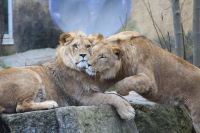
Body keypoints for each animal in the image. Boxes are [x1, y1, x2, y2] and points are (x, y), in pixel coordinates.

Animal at [0, 30, 135, 120]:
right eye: (75, 46)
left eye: (88, 46)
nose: (83, 55)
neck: (82, 70)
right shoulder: (81, 97)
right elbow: (110, 96)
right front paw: (127, 110)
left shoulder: (97, 82)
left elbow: (111, 87)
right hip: (31, 74)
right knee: (21, 106)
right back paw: (50, 103)